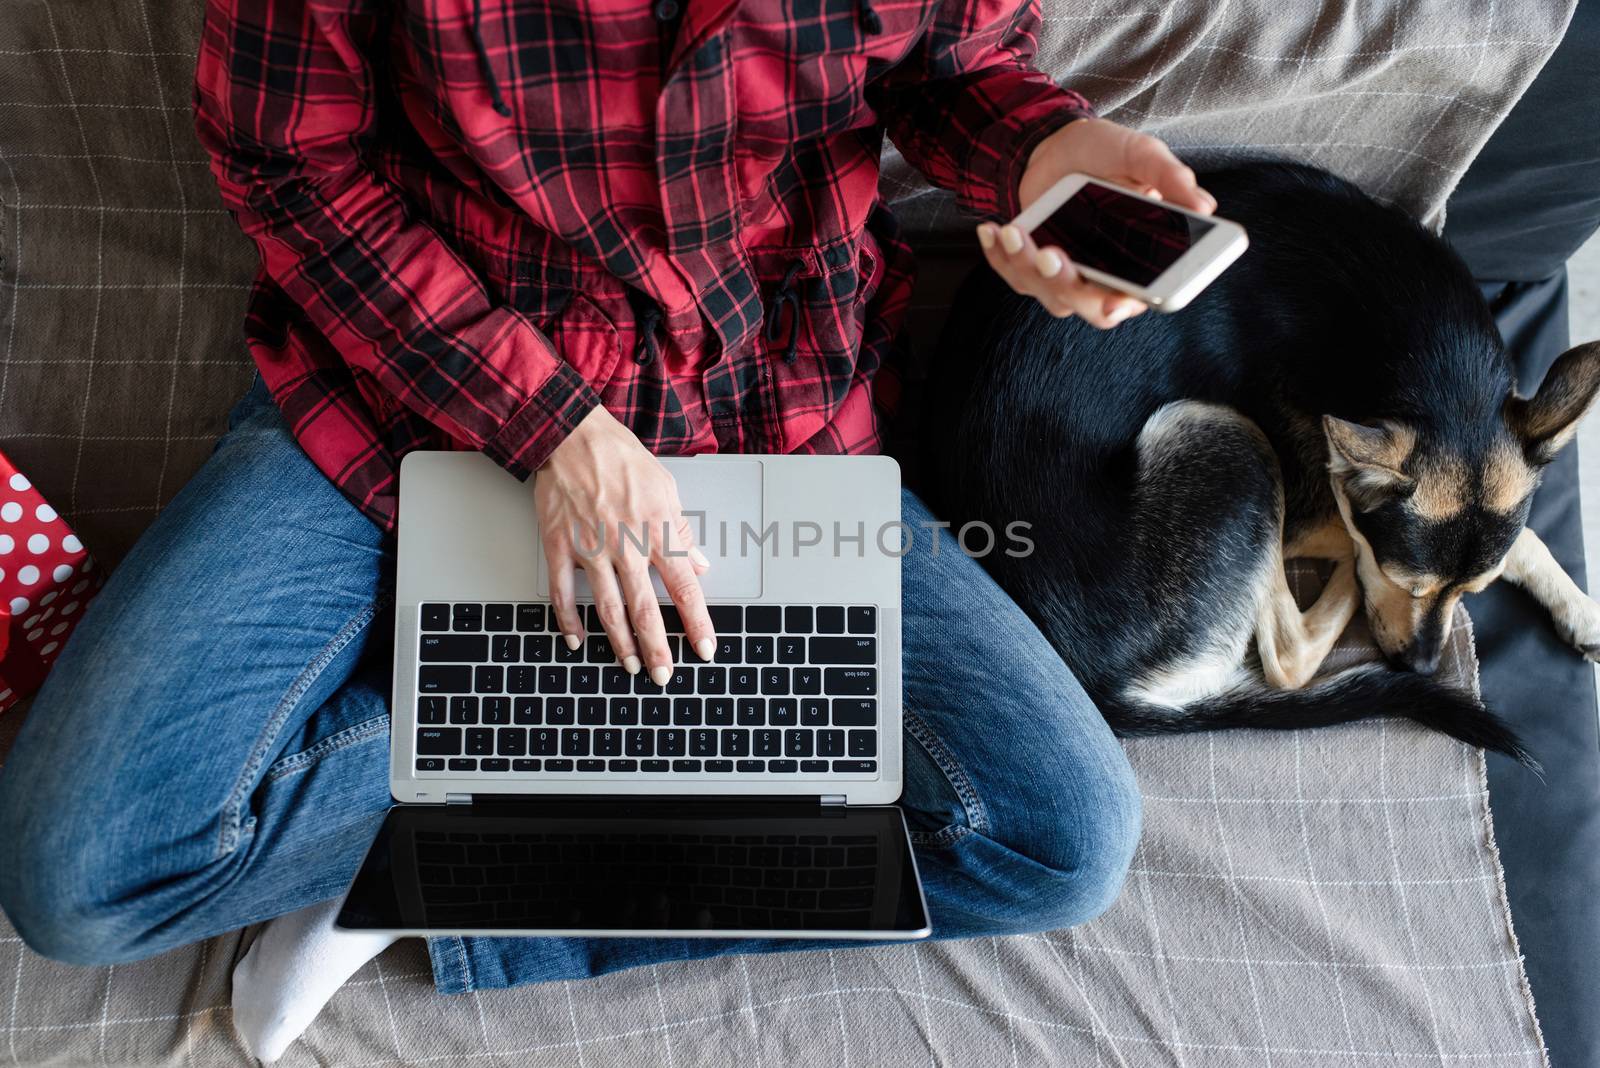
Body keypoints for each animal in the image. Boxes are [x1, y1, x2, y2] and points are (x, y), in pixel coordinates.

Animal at [928, 160, 1600, 757]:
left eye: (1473, 590)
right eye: (1405, 581)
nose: (1421, 667)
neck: (1425, 349)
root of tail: (1101, 690)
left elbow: (1520, 541)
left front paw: (1581, 610)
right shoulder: (1311, 505)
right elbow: (1365, 536)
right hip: (1228, 437)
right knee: (1287, 658)